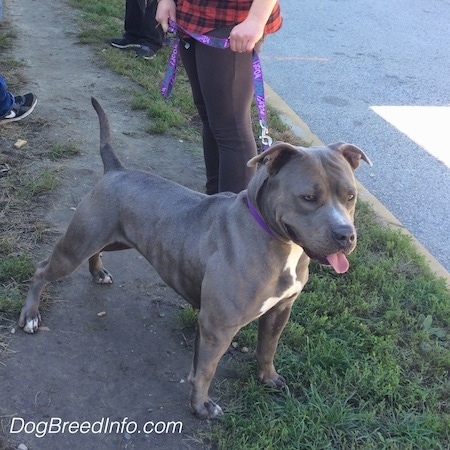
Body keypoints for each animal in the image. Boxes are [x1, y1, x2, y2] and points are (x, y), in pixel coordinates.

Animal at [19, 96, 370, 420]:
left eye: (350, 196)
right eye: (308, 198)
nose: (346, 235)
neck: (276, 240)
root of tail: (116, 170)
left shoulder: (279, 311)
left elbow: (267, 348)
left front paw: (268, 378)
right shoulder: (218, 326)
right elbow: (206, 370)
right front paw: (201, 406)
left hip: (113, 239)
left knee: (96, 251)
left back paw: (98, 272)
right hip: (76, 246)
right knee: (41, 270)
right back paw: (31, 316)